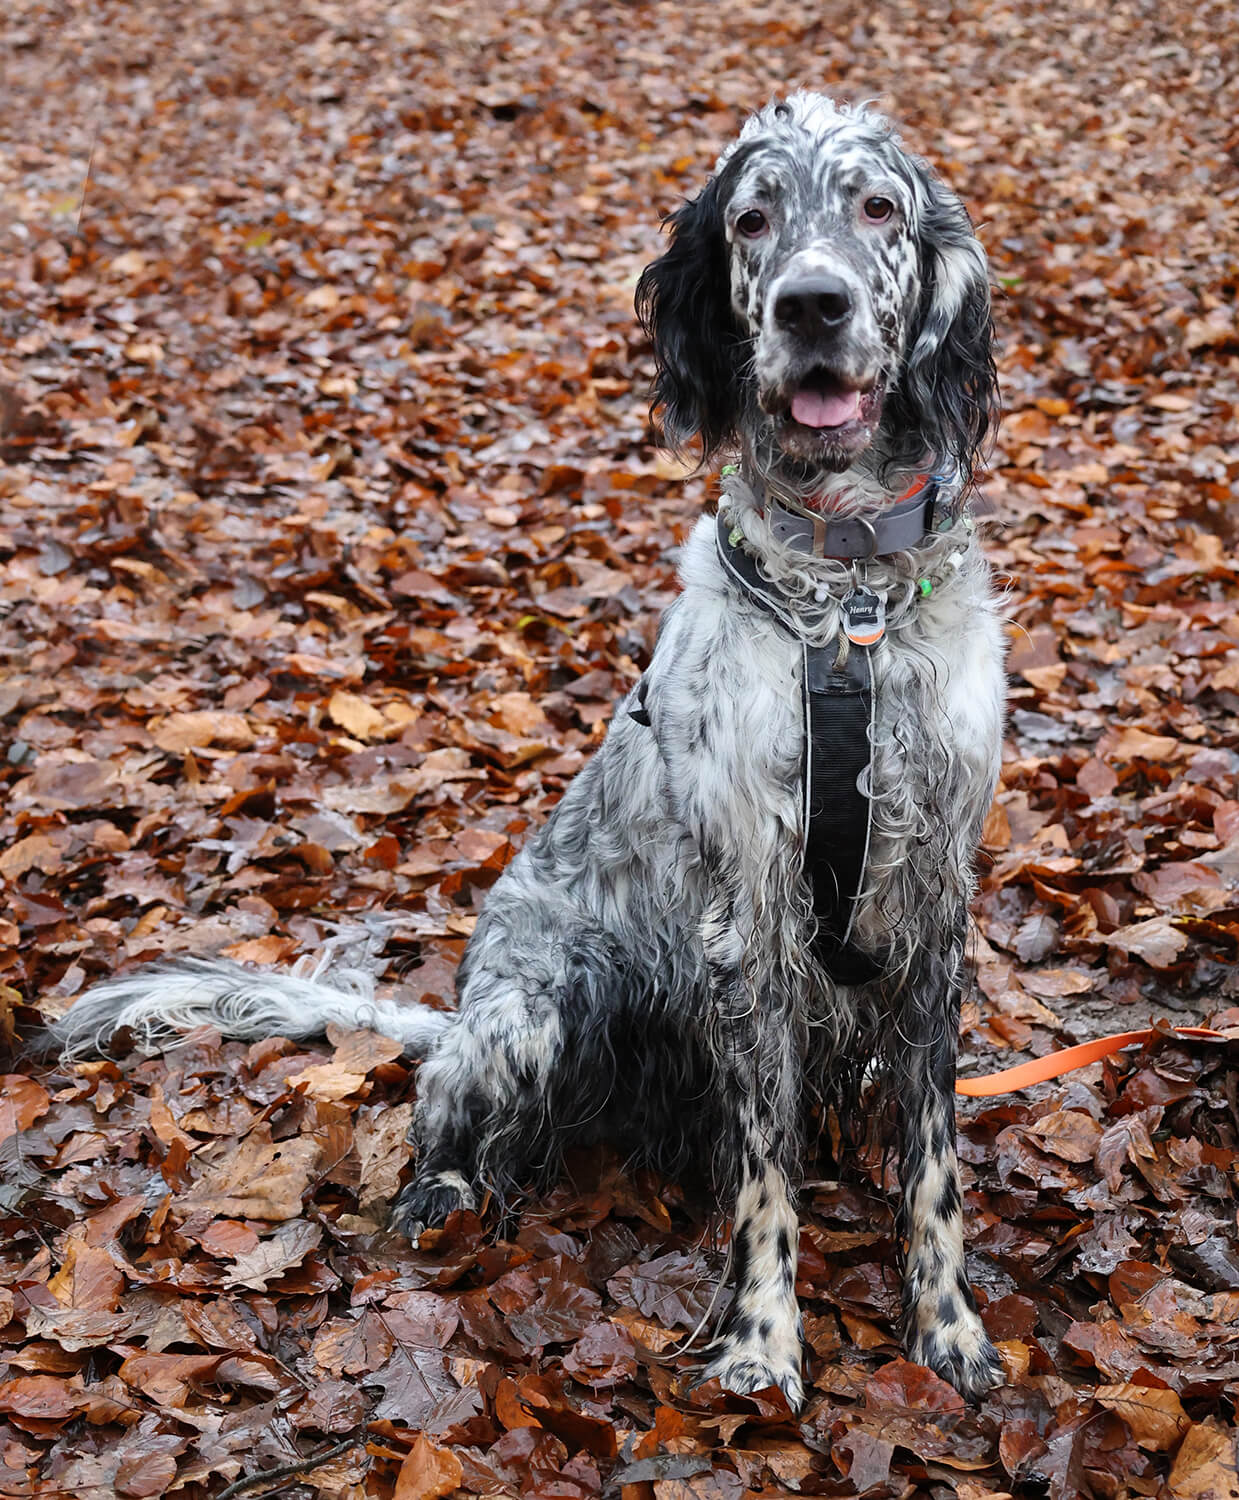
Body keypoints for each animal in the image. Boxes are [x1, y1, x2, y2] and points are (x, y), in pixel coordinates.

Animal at [46, 93, 1006, 1408]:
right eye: (754, 221)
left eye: (876, 208)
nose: (813, 307)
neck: (847, 602)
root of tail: (458, 1008)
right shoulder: (749, 922)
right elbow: (763, 1170)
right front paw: (762, 1343)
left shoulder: (936, 903)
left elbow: (934, 1159)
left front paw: (948, 1324)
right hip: (538, 1006)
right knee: (447, 1118)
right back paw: (443, 1199)